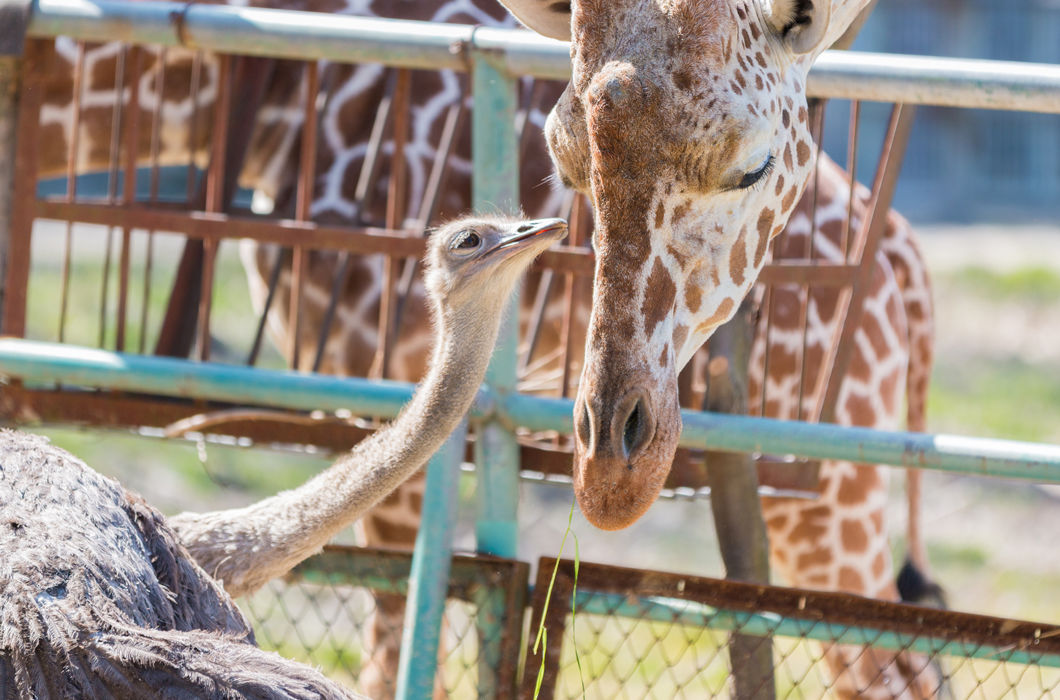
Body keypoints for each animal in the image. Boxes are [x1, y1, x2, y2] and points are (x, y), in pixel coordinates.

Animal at [24, 0, 937, 695]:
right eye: (564, 159)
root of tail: (905, 261)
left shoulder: (364, 362)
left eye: (751, 167)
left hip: (834, 493)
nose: (610, 462)